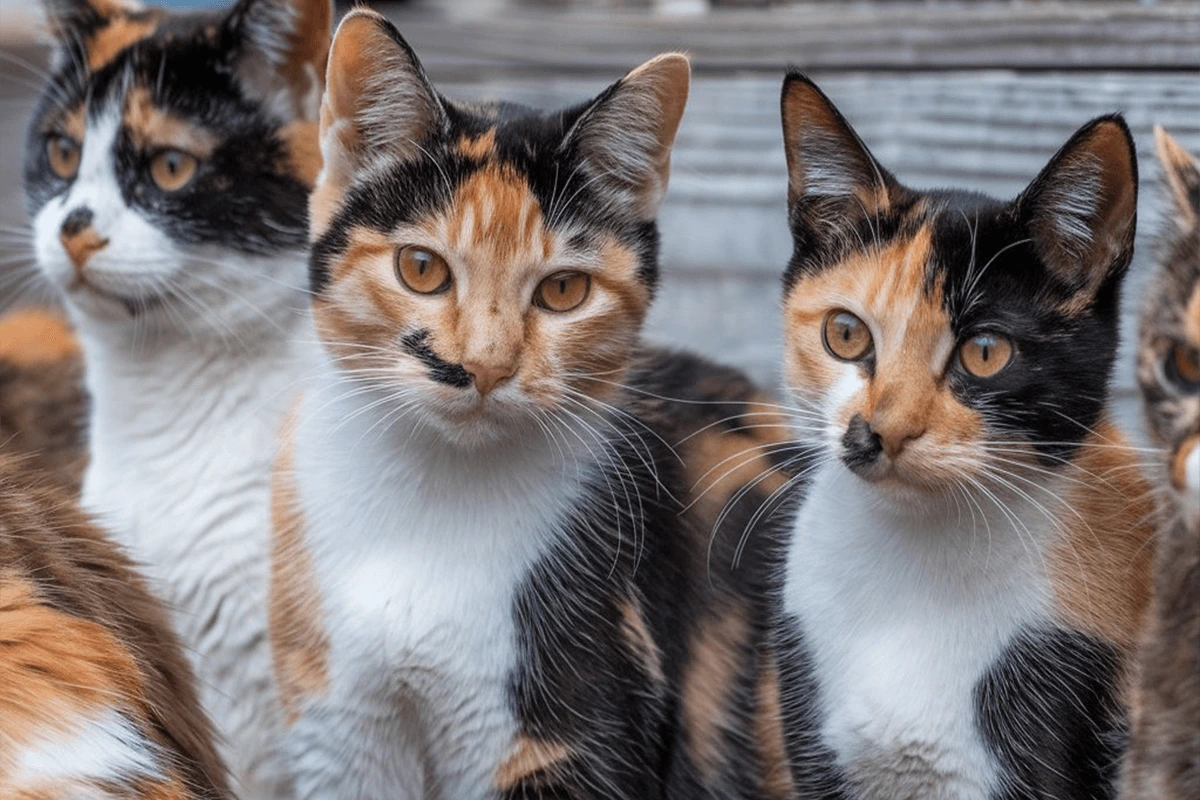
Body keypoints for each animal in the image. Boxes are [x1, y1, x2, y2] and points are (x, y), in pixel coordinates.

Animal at [272, 9, 796, 796]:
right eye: (420, 268)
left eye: (563, 290)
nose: (485, 365)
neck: (433, 505)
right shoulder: (337, 735)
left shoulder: (584, 722)